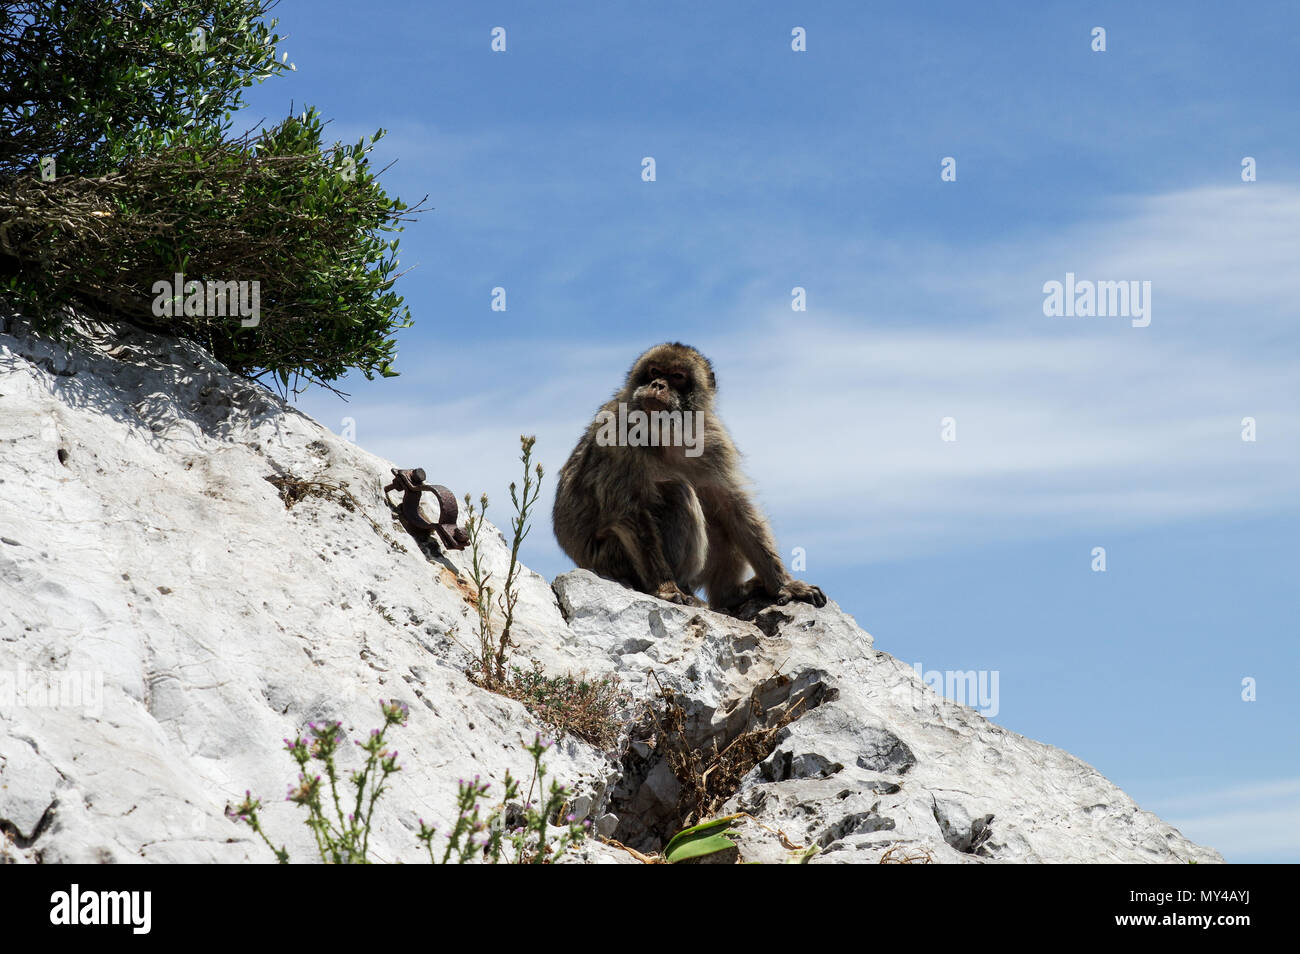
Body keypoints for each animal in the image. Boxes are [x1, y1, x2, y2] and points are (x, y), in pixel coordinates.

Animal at [553, 343, 826, 613]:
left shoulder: (714, 439)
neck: (666, 433)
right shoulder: (617, 434)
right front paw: (665, 589)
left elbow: (733, 506)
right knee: (677, 492)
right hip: (611, 559)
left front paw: (784, 585)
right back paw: (682, 586)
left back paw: (729, 596)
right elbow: (628, 512)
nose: (658, 385)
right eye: (654, 371)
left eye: (677, 376)